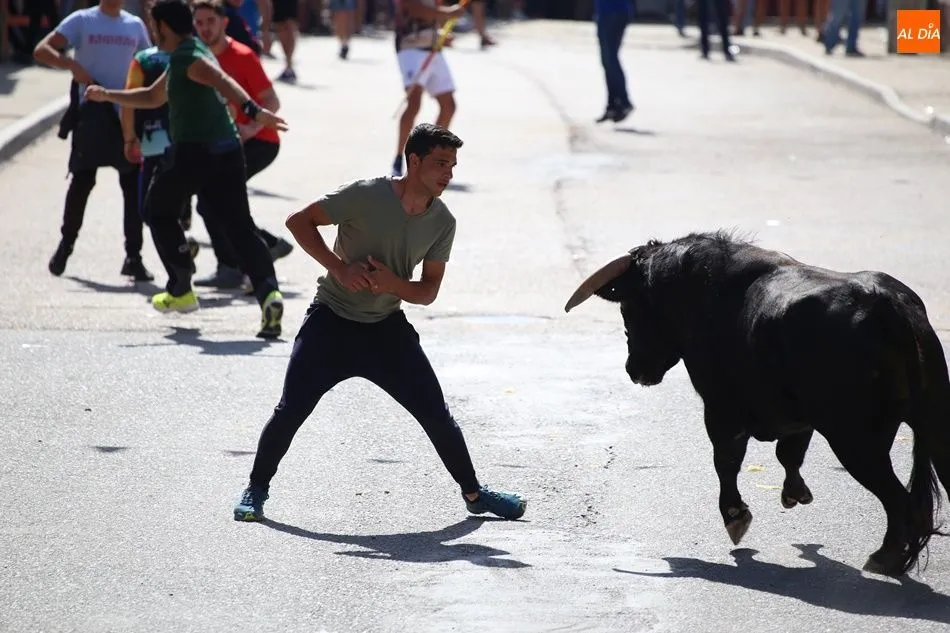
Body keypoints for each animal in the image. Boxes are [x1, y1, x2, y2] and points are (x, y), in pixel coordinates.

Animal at [564, 231, 949, 577]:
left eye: (629, 308)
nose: (635, 370)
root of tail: (889, 309)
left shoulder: (720, 411)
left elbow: (727, 461)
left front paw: (735, 516)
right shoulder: (798, 420)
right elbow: (788, 454)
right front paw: (794, 494)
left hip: (853, 440)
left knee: (900, 501)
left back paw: (885, 559)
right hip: (929, 426)